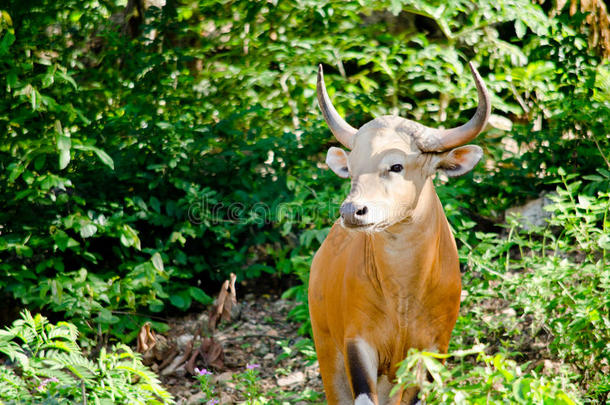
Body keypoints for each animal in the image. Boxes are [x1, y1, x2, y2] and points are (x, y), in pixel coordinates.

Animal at [308, 63, 490, 404]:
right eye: (351, 169)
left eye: (396, 166)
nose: (352, 211)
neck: (403, 297)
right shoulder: (358, 344)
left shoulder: (431, 350)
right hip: (327, 351)